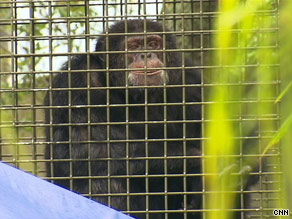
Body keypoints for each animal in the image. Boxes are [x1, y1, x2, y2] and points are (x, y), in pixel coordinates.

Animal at [44, 19, 202, 219]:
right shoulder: (77, 81)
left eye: (153, 44)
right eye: (133, 47)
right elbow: (83, 149)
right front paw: (196, 160)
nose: (145, 54)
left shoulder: (191, 82)